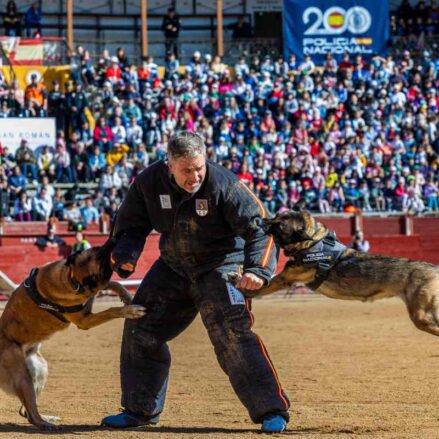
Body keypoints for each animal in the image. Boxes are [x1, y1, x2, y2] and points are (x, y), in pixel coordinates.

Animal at [0, 239, 146, 432]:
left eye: (95, 249)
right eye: (98, 255)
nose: (112, 240)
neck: (69, 276)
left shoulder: (94, 291)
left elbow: (112, 283)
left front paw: (126, 295)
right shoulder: (85, 320)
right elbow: (111, 309)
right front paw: (130, 310)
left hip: (39, 370)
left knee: (26, 411)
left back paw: (47, 418)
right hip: (22, 376)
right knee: (31, 413)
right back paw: (46, 424)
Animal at [230, 211, 439, 338]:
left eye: (280, 225)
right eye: (277, 215)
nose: (259, 220)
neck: (312, 243)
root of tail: (434, 267)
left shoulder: (284, 279)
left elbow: (261, 286)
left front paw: (241, 284)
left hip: (421, 315)